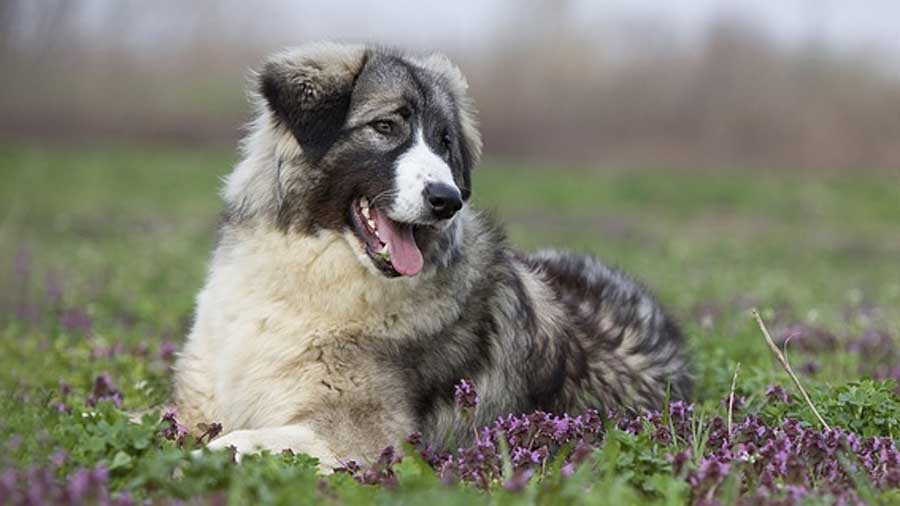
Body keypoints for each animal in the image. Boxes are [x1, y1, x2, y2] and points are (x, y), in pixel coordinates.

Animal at [172, 42, 692, 466]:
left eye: (444, 141)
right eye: (385, 126)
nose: (447, 200)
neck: (313, 271)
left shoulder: (363, 436)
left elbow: (231, 441)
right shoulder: (199, 400)